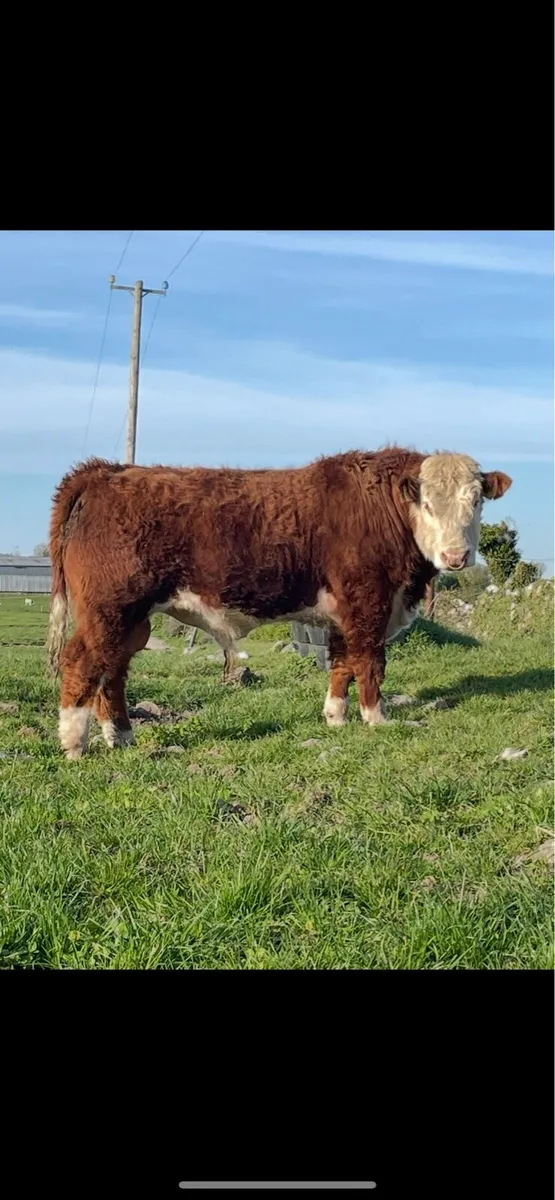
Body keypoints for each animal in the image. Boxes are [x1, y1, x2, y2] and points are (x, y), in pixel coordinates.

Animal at [46, 449, 512, 759]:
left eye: (476, 501)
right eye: (428, 504)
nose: (456, 556)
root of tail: (106, 472)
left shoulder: (342, 614)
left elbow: (341, 662)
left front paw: (336, 717)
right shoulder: (368, 603)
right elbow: (369, 662)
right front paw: (375, 719)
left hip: (131, 620)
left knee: (113, 671)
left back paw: (121, 736)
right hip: (109, 610)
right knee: (83, 663)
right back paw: (74, 744)